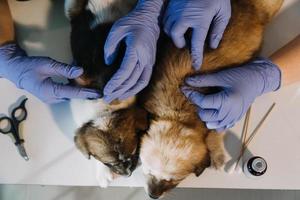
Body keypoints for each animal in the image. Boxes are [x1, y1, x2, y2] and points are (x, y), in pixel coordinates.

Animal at [138, 0, 284, 198]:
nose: (153, 195)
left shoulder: (219, 113)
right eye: (148, 171)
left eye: (174, 181)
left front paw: (217, 154)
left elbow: (215, 133)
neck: (178, 113)